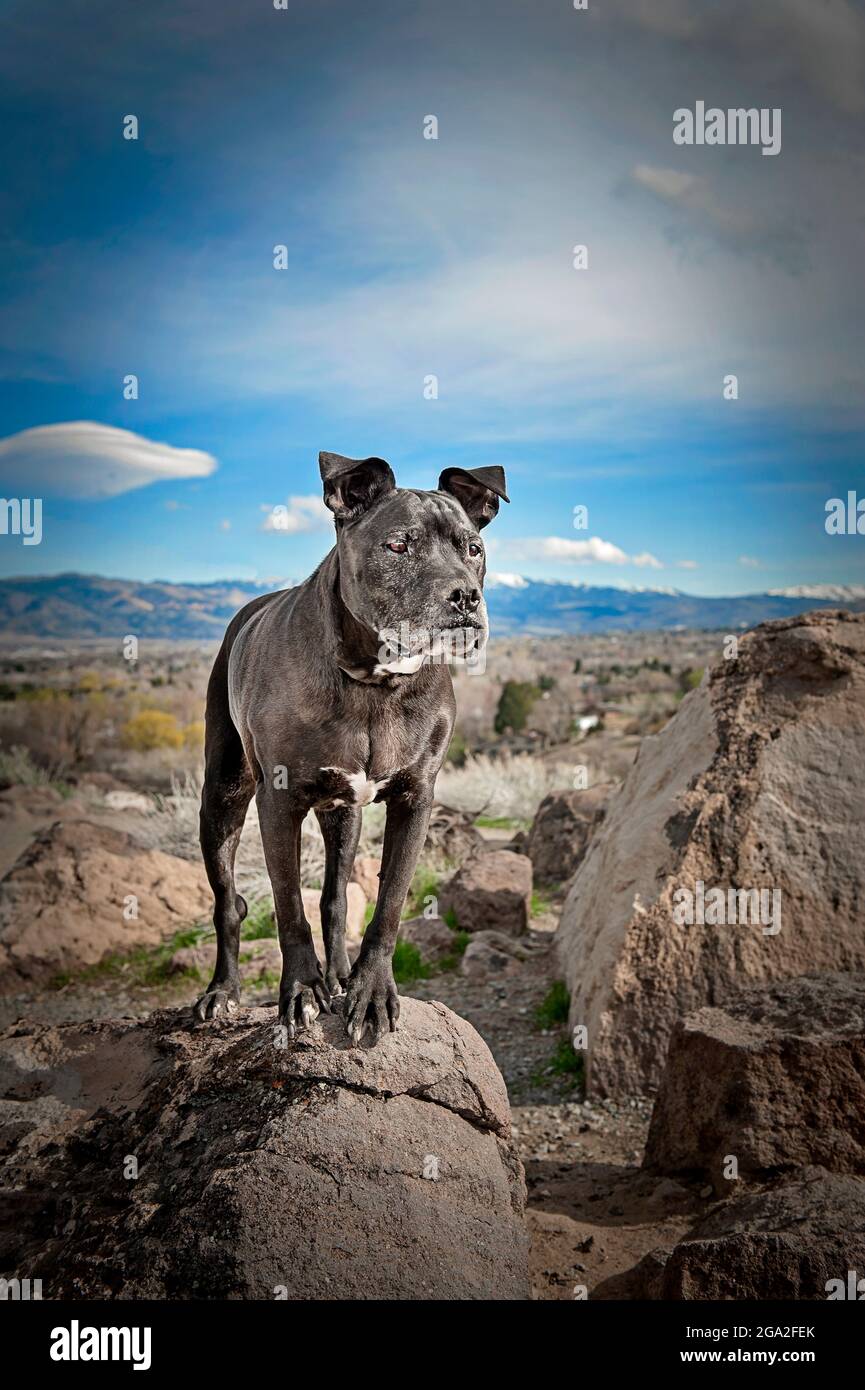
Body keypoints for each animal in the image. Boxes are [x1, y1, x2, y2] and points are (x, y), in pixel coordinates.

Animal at [194, 453, 508, 1045]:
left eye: (473, 548)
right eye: (399, 545)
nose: (465, 596)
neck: (375, 682)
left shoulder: (415, 799)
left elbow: (387, 905)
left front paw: (370, 990)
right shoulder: (278, 802)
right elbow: (287, 905)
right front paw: (299, 992)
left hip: (343, 815)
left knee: (336, 898)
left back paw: (339, 976)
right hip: (222, 795)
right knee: (228, 902)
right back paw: (222, 992)